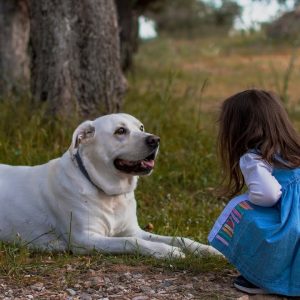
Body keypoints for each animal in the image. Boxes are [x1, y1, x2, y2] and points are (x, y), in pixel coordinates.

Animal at [0, 113, 219, 258]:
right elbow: (131, 242)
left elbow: (178, 238)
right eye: (120, 131)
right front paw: (167, 251)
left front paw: (206, 249)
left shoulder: (134, 230)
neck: (110, 193)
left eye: (141, 127)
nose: (155, 140)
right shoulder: (85, 239)